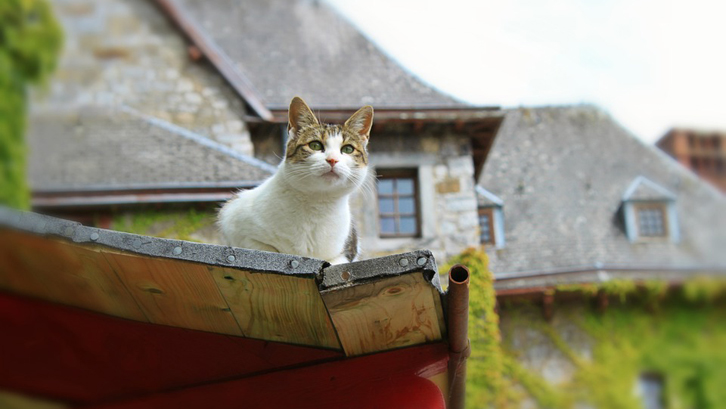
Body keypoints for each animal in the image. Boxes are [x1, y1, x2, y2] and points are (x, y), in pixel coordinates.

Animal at [218, 96, 372, 264]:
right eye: (315, 145)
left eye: (348, 149)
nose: (332, 160)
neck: (317, 205)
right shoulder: (234, 220)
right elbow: (267, 248)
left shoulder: (348, 250)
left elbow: (333, 261)